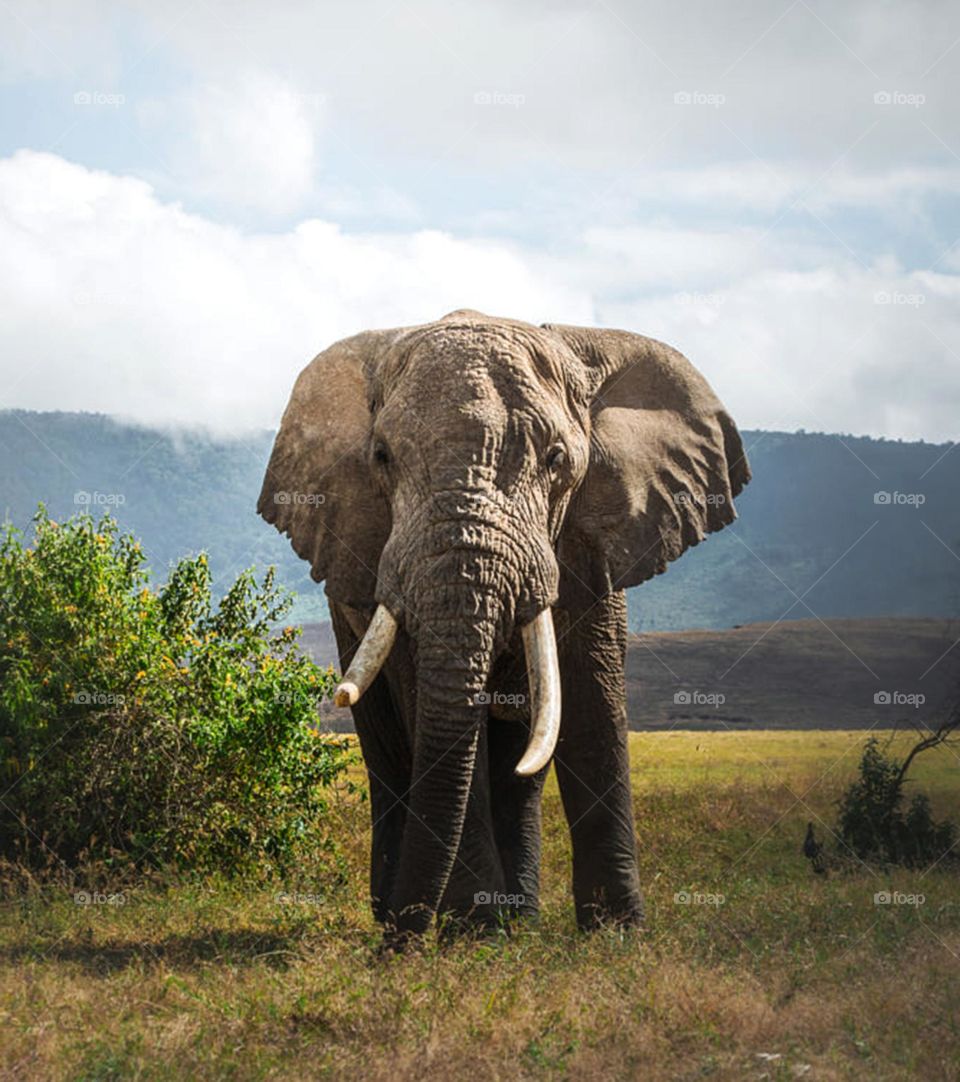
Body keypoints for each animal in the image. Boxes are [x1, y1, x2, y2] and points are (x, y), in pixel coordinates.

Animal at [257, 309, 748, 943]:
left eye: (557, 459)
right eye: (382, 457)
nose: (395, 950)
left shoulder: (591, 543)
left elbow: (591, 707)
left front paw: (617, 935)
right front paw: (476, 933)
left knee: (521, 764)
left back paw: (518, 918)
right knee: (390, 751)